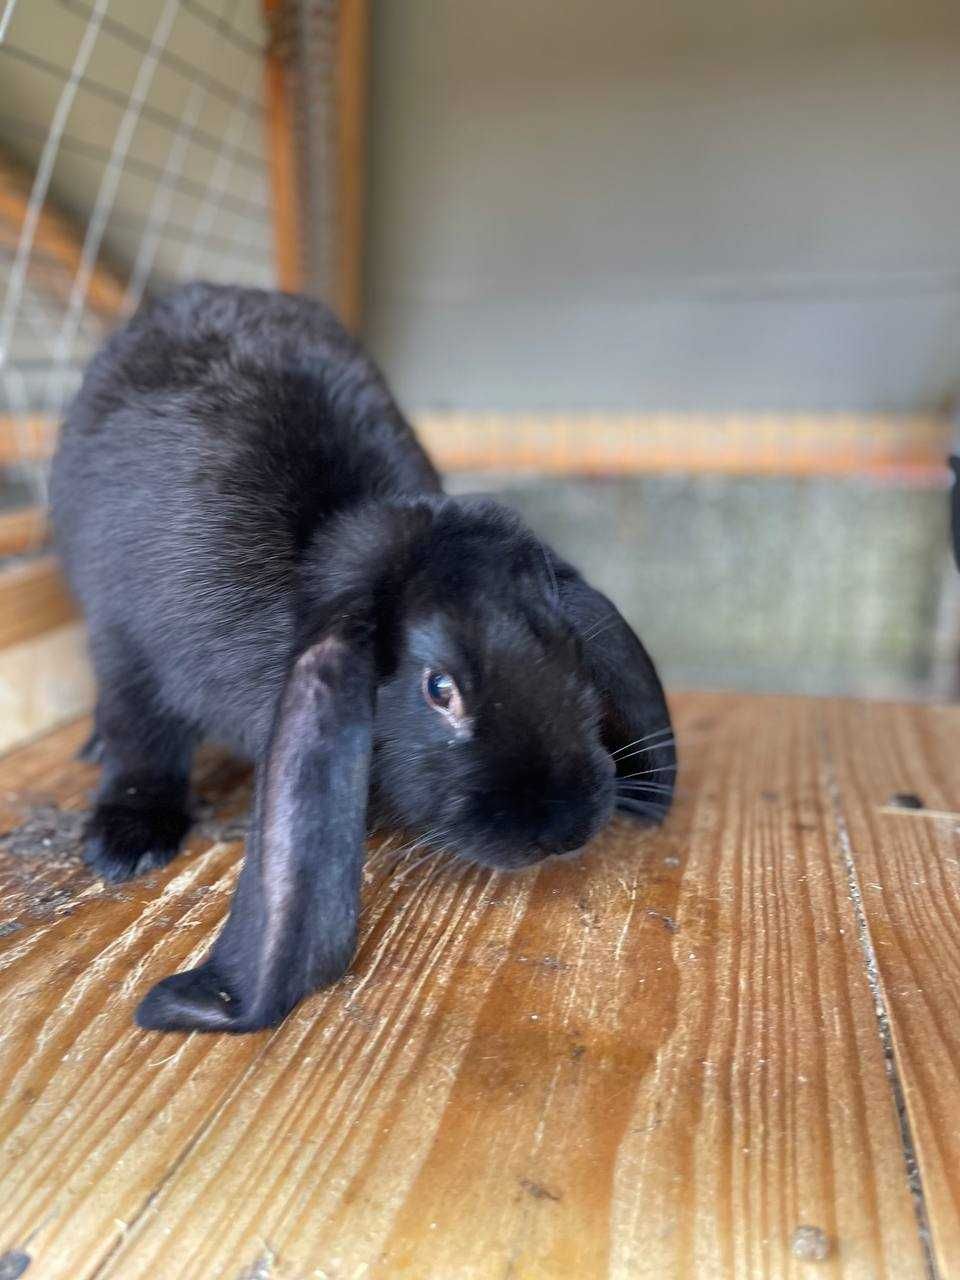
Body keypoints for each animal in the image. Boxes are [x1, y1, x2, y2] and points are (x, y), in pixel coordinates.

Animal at [50, 282, 675, 1029]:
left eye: (571, 653)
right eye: (439, 689)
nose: (564, 826)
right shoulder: (129, 649)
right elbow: (143, 742)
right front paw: (125, 844)